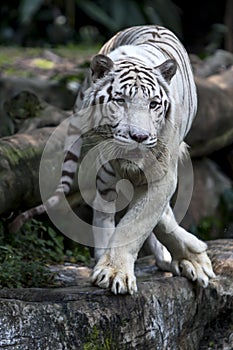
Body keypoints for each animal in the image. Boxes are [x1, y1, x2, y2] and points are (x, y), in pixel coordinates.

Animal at [10, 25, 215, 292]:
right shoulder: (107, 171)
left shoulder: (161, 174)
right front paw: (111, 269)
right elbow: (134, 219)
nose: (139, 137)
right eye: (120, 100)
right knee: (106, 212)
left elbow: (139, 221)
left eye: (153, 104)